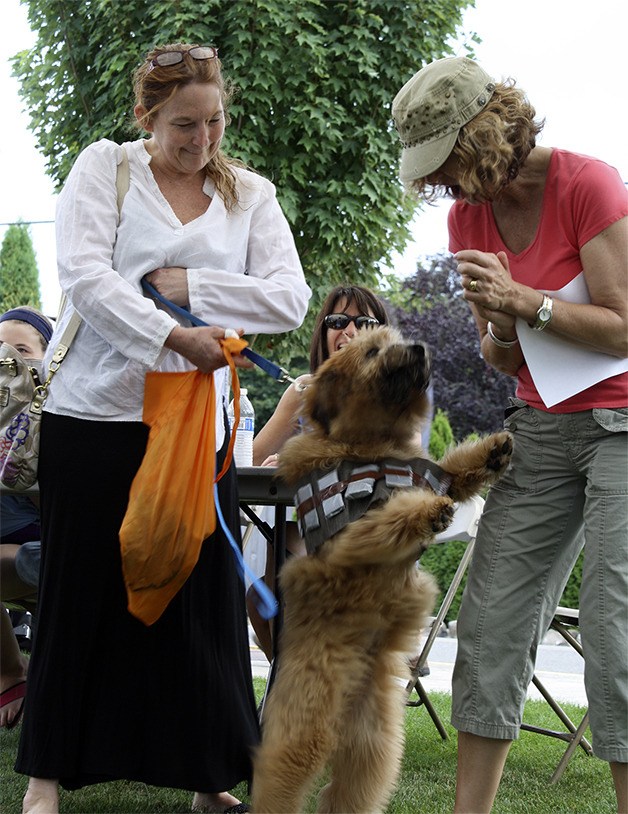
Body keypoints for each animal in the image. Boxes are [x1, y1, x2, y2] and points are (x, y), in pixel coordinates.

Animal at [253, 326, 512, 814]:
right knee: (280, 778)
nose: (419, 349)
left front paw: (493, 450)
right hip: (307, 727)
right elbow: (394, 513)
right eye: (373, 351)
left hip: (372, 745)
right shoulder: (349, 536)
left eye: (396, 339)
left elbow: (455, 471)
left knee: (349, 791)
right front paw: (428, 511)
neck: (375, 442)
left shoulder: (434, 473)